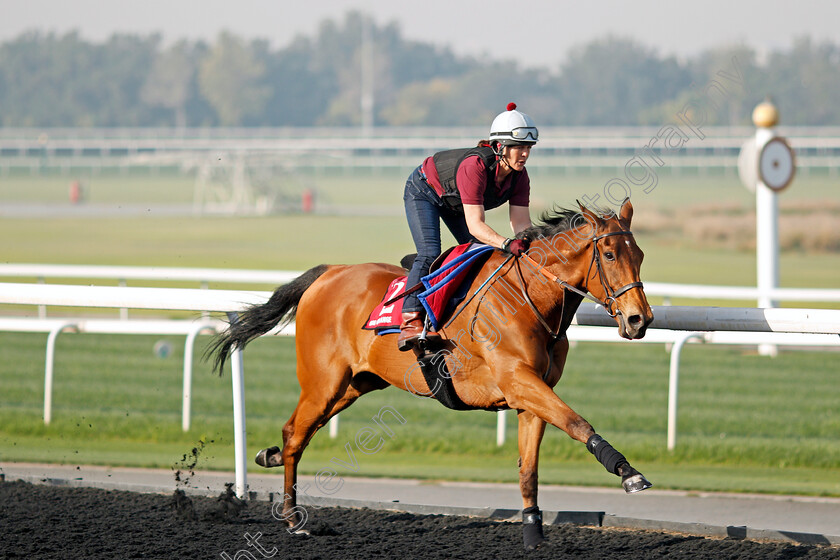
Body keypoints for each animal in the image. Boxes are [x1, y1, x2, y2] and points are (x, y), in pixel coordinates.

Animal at [212, 199, 656, 548]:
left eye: (640, 256)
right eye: (610, 255)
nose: (640, 320)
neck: (527, 297)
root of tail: (329, 272)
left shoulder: (531, 394)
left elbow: (528, 467)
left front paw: (533, 533)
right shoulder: (518, 380)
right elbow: (577, 422)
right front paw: (628, 472)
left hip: (354, 384)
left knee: (296, 432)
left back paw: (270, 459)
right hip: (324, 381)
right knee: (296, 435)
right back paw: (292, 518)